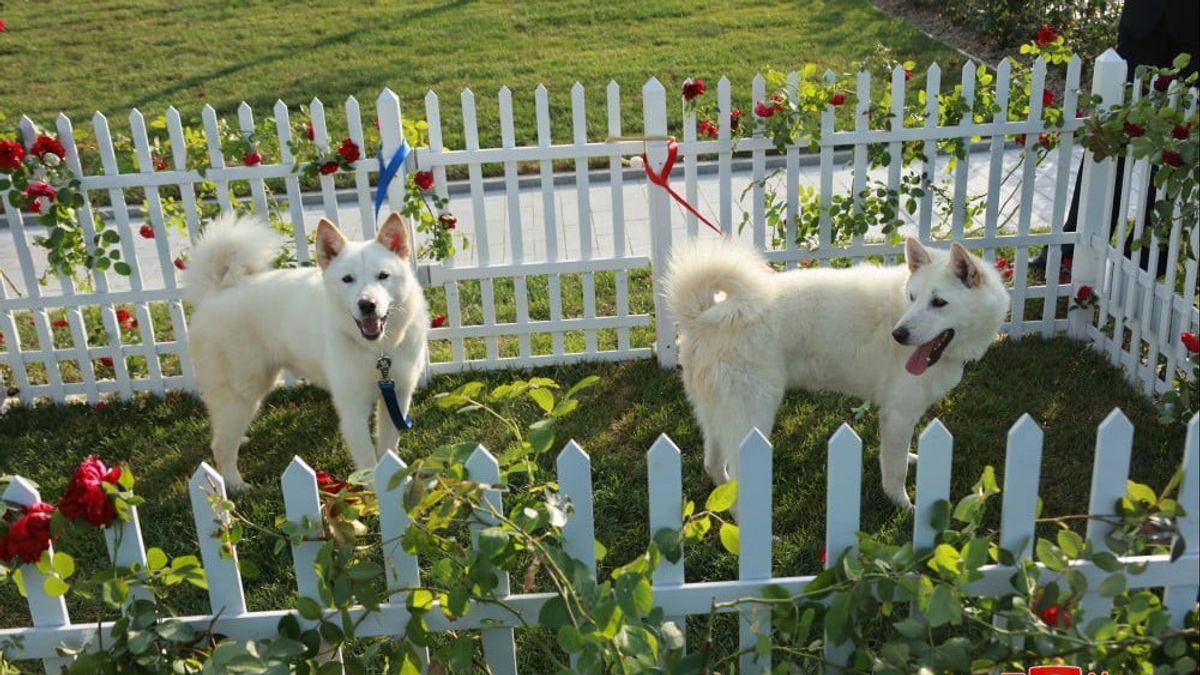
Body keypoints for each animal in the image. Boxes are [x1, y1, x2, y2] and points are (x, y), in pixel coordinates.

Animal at [184, 210, 429, 487]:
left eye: (383, 276)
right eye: (348, 279)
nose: (367, 304)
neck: (379, 350)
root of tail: (215, 290)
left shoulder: (397, 397)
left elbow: (388, 449)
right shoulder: (353, 408)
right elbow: (367, 463)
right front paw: (373, 493)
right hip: (241, 393)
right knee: (220, 446)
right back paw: (236, 486)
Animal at [667, 236, 1012, 504]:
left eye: (939, 302)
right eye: (913, 297)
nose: (898, 335)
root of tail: (704, 318)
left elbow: (898, 457)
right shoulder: (898, 414)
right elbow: (894, 471)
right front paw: (903, 505)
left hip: (715, 415)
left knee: (714, 465)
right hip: (752, 419)